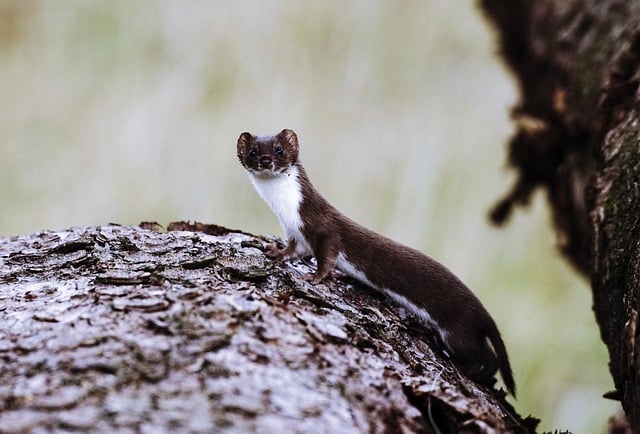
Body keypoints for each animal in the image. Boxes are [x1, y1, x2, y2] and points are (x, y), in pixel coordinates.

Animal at [238, 127, 516, 396]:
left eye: (279, 149)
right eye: (253, 151)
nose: (265, 161)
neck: (288, 213)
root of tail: (481, 310)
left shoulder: (325, 230)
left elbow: (327, 256)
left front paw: (314, 277)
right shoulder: (296, 234)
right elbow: (292, 251)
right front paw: (275, 252)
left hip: (458, 331)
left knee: (487, 355)